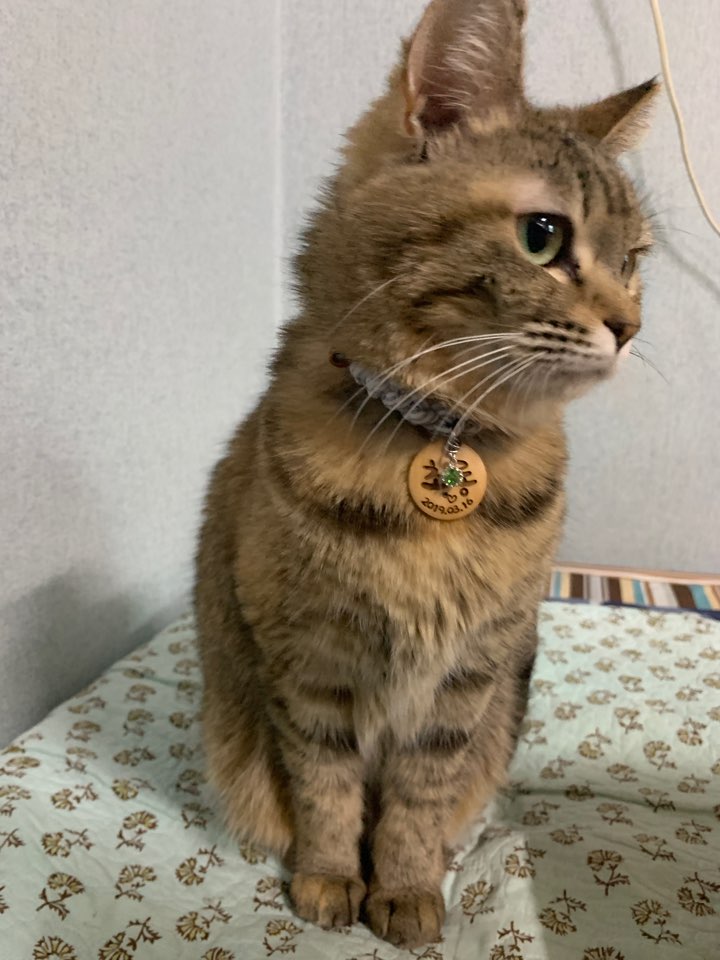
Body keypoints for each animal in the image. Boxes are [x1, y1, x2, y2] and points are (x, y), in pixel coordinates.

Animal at [195, 0, 658, 949]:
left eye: (635, 259)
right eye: (543, 236)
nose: (630, 327)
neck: (439, 437)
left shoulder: (467, 677)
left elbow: (416, 798)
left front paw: (406, 887)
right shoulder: (313, 663)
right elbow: (326, 789)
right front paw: (331, 880)